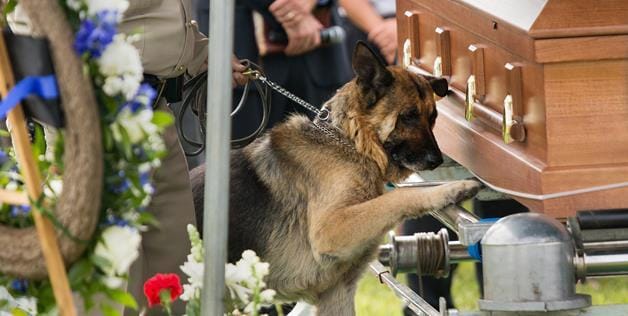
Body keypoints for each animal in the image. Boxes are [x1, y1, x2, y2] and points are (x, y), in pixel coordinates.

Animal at [189, 42, 478, 316]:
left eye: (433, 117)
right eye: (408, 116)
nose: (437, 159)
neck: (349, 142)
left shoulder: (337, 292)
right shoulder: (331, 229)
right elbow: (399, 195)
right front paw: (454, 188)